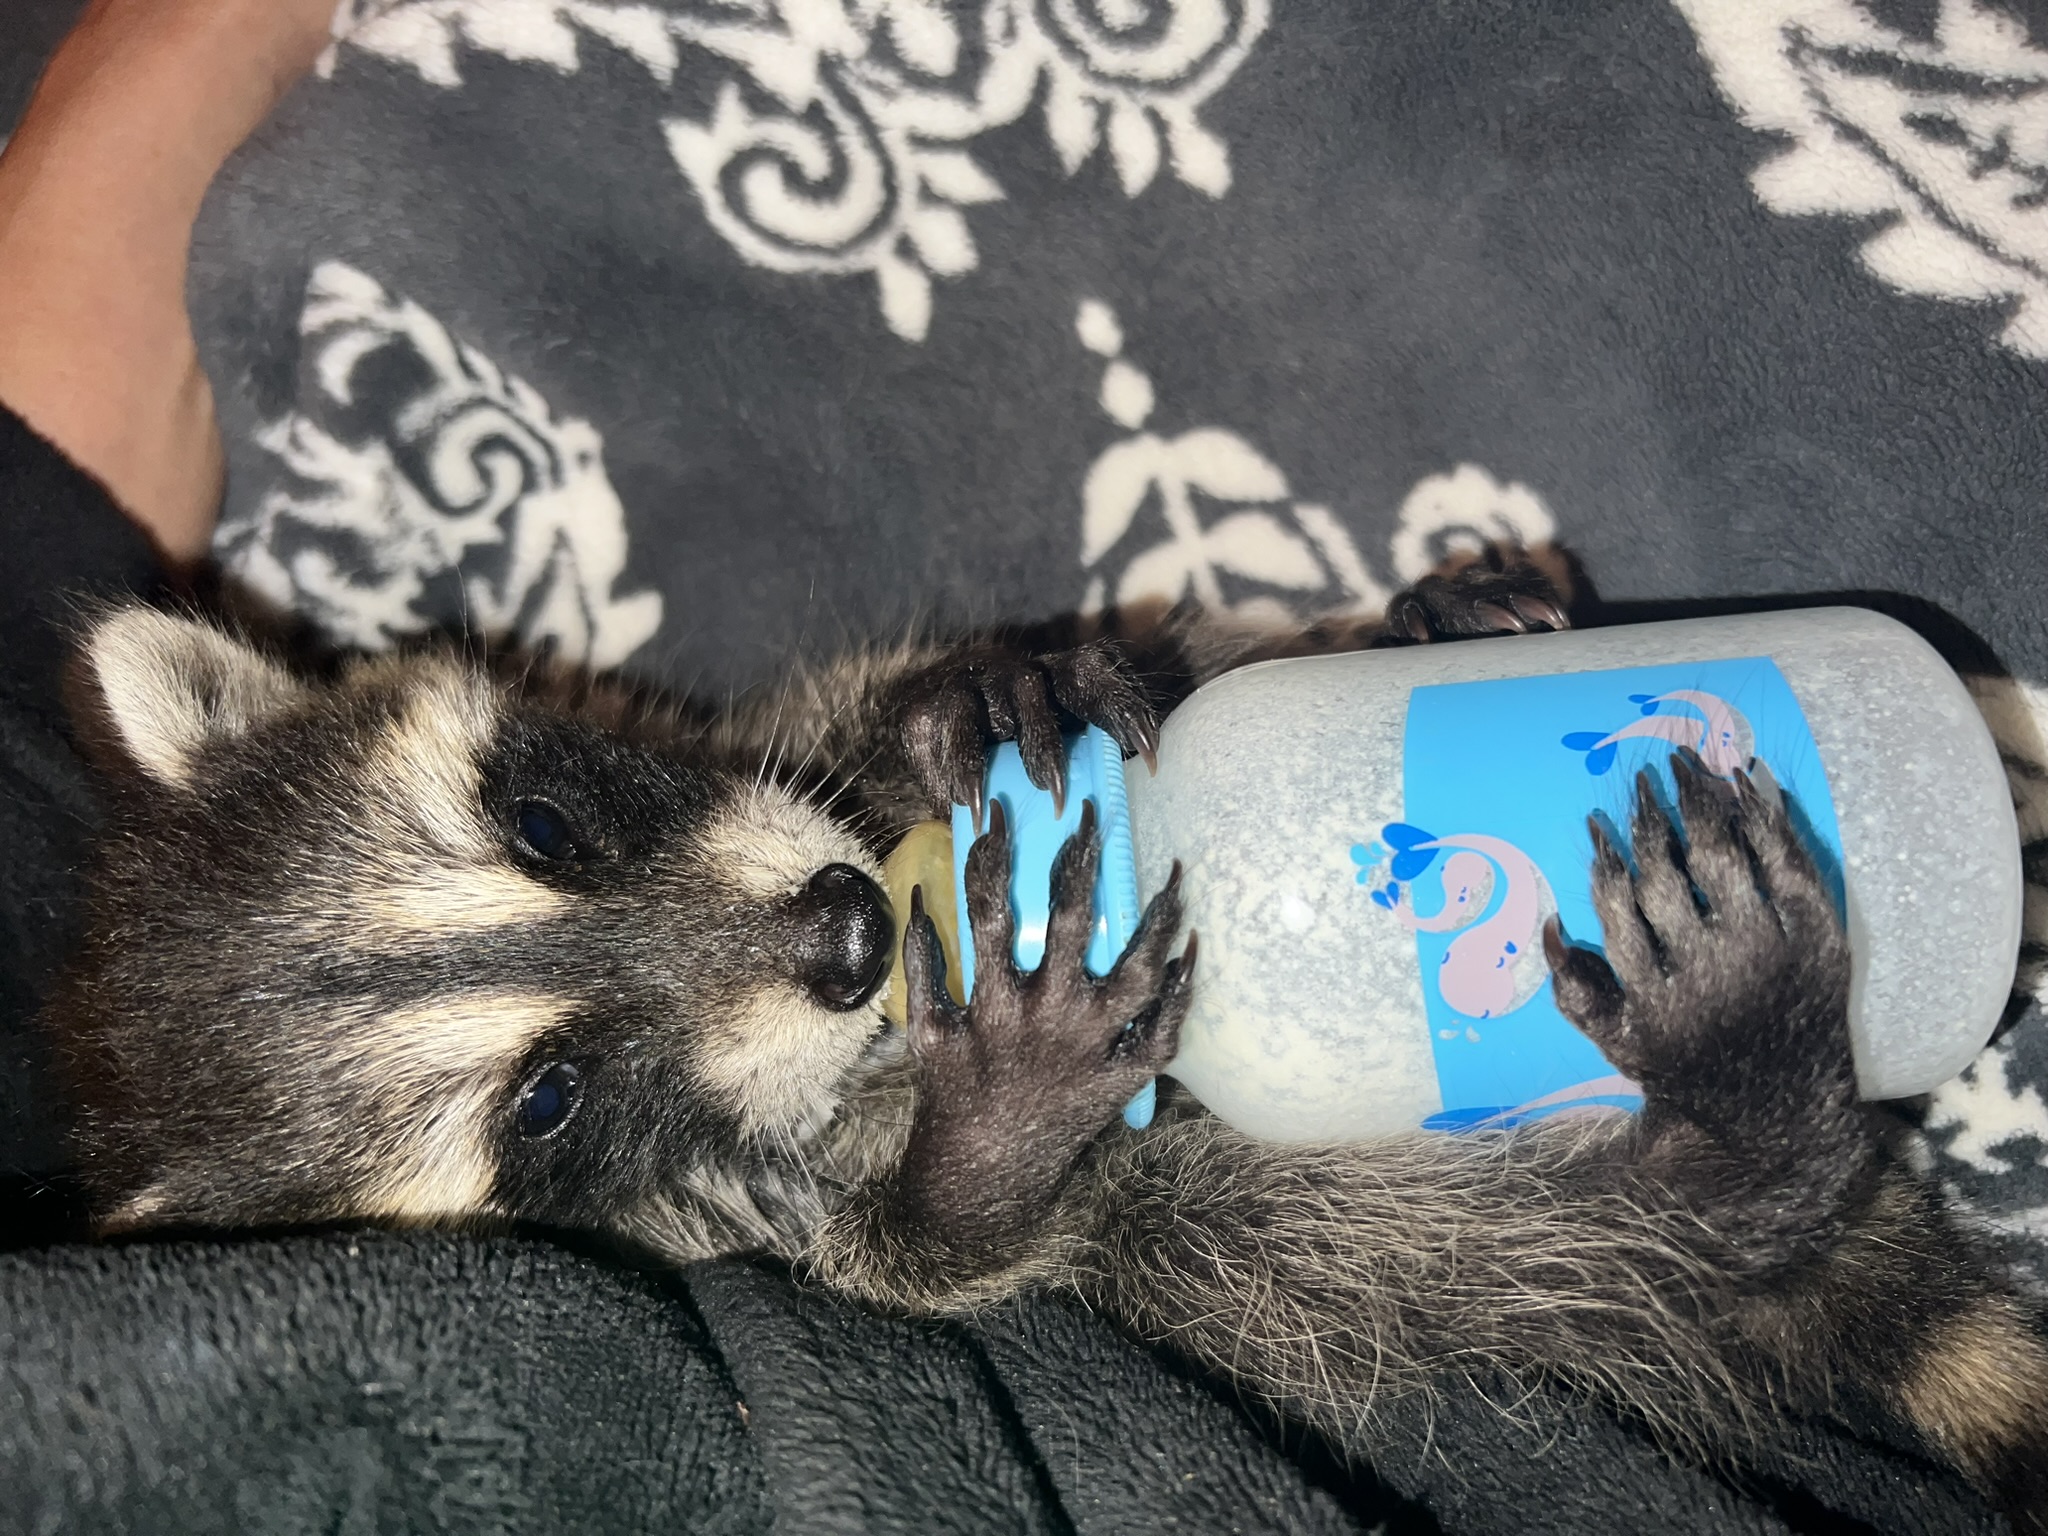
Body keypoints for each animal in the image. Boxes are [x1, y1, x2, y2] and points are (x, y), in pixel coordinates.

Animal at [41, 568, 2048, 1526]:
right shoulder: (790, 1230)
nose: (851, 933)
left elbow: (880, 718)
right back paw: (1747, 1110)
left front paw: (977, 703)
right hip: (1450, 1255)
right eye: (546, 1097)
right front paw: (989, 1135)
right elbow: (949, 1261)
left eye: (540, 822)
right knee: (1642, 1229)